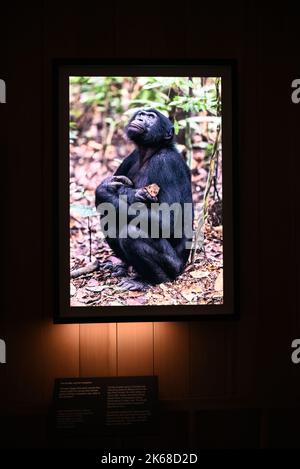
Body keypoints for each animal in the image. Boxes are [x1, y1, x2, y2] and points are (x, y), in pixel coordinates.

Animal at [96, 109, 195, 288]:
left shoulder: (167, 164)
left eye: (151, 117)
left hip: (174, 266)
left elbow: (167, 221)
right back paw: (124, 267)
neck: (150, 152)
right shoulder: (131, 156)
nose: (141, 118)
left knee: (132, 233)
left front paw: (104, 192)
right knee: (110, 217)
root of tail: (183, 267)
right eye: (141, 114)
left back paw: (149, 281)